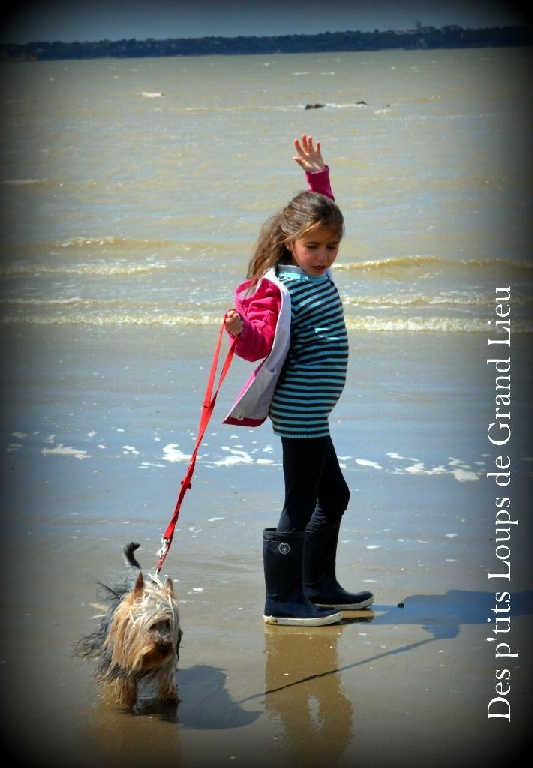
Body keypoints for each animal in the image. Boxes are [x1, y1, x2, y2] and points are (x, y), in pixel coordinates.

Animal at [76, 544, 182, 712]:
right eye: (151, 625)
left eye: (167, 623)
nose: (165, 646)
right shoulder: (121, 658)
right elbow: (124, 681)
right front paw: (126, 701)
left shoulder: (168, 660)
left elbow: (167, 676)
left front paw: (171, 697)